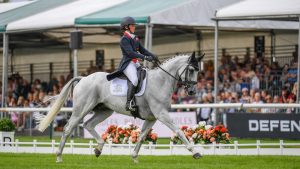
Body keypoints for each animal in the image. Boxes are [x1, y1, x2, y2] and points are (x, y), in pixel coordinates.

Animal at [37, 52, 202, 162]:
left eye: (198, 71)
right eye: (191, 70)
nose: (192, 91)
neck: (161, 81)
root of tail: (83, 78)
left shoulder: (152, 117)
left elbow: (142, 136)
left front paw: (134, 157)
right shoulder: (161, 114)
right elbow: (179, 131)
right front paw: (195, 152)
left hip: (104, 111)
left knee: (88, 124)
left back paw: (98, 149)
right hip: (81, 109)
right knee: (68, 128)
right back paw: (59, 157)